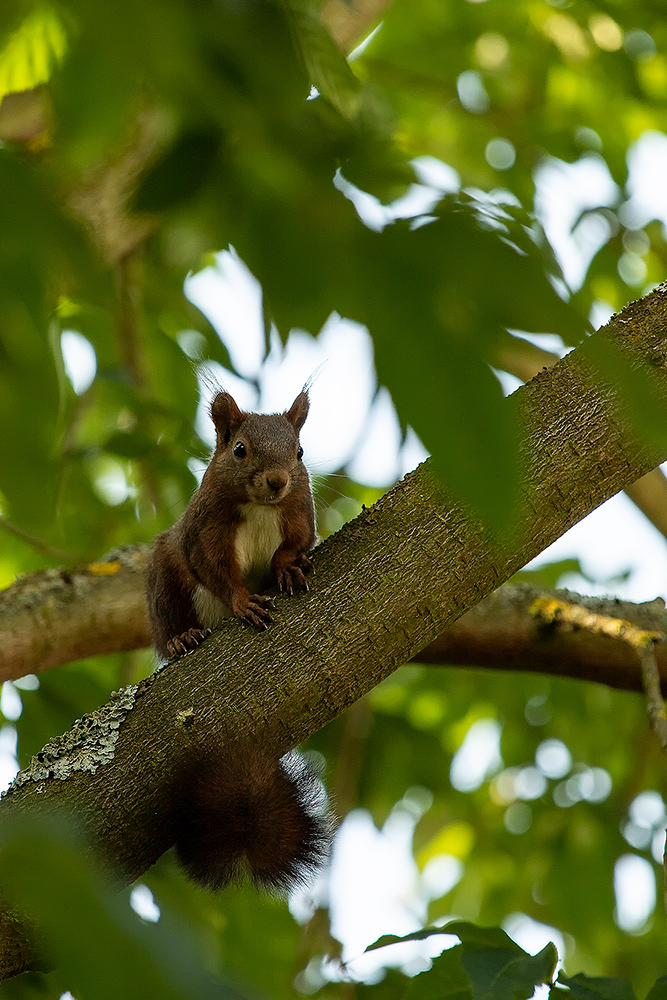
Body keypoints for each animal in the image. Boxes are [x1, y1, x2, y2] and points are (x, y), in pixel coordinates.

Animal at [146, 388, 328, 892]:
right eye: (240, 449)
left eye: (300, 452)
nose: (277, 481)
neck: (261, 507)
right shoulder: (204, 531)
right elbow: (216, 572)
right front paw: (244, 602)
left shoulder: (300, 512)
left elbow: (296, 543)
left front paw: (288, 568)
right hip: (164, 578)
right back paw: (183, 639)